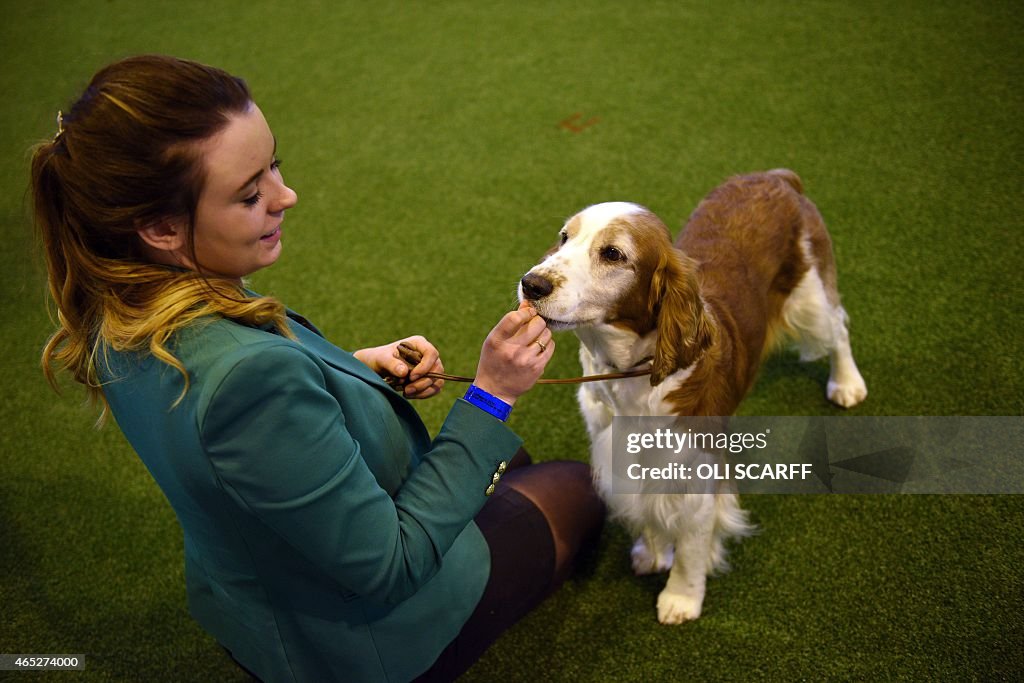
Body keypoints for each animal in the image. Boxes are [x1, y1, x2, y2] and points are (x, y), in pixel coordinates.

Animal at [520, 167, 864, 622]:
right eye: (564, 237)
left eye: (612, 254)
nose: (531, 283)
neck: (634, 371)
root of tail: (775, 176)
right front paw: (651, 553)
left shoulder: (695, 473)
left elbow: (692, 544)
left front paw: (681, 597)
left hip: (810, 299)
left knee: (838, 330)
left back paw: (846, 383)